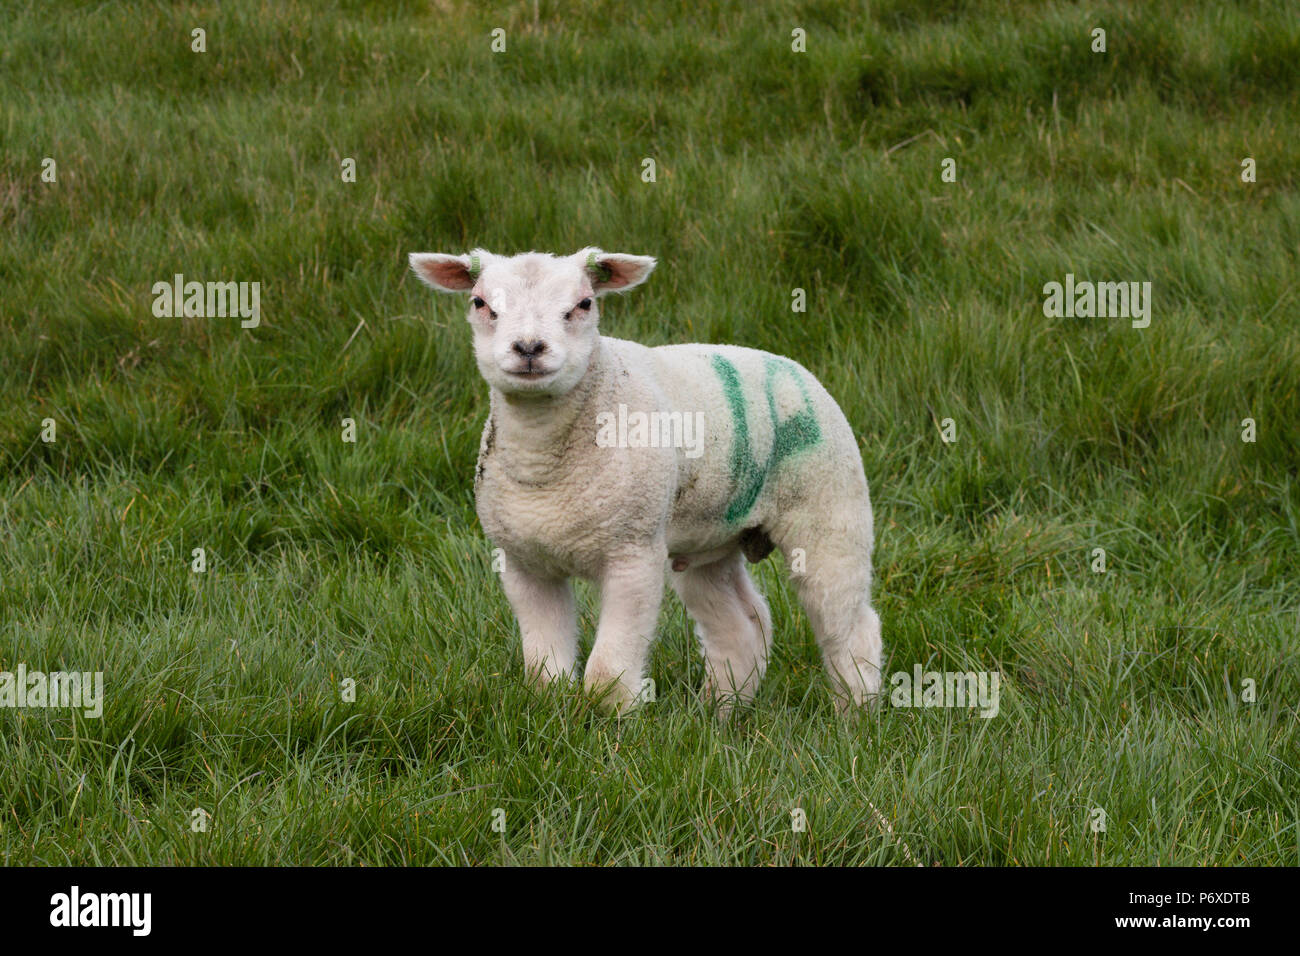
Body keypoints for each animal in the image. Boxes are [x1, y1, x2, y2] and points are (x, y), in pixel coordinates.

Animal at [410, 248, 889, 717]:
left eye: (584, 304)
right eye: (480, 303)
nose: (529, 348)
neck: (543, 462)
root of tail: (788, 364)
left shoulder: (633, 553)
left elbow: (605, 675)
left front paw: (619, 719)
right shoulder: (523, 562)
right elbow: (546, 675)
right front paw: (555, 712)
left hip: (830, 508)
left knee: (849, 623)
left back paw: (855, 715)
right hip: (710, 538)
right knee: (741, 624)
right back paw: (719, 714)